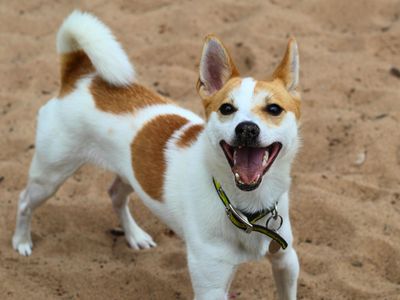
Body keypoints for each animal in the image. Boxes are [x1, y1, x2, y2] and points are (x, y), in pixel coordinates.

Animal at [11, 10, 300, 298]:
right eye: (227, 109)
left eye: (274, 109)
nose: (247, 129)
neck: (246, 208)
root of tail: (81, 77)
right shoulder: (211, 285)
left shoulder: (286, 262)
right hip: (49, 176)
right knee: (24, 201)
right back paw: (21, 241)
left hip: (132, 174)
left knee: (115, 195)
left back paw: (135, 236)